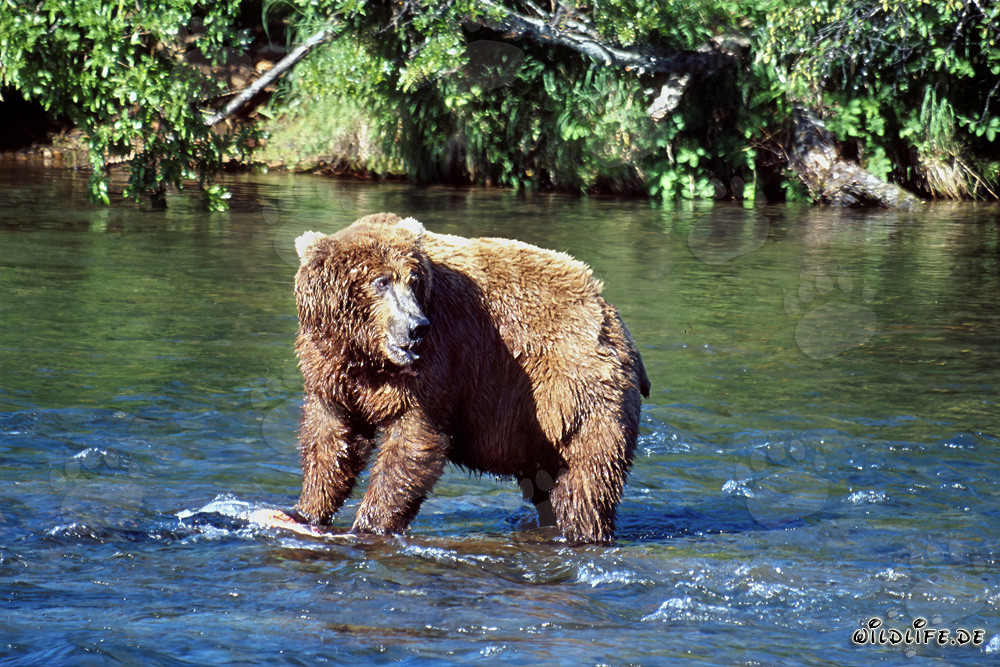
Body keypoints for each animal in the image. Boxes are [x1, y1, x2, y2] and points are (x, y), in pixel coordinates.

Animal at [291, 212, 650, 544]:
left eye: (413, 280)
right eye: (382, 281)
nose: (416, 326)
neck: (368, 355)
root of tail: (608, 311)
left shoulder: (437, 363)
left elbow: (414, 442)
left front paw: (369, 525)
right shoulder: (329, 371)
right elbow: (332, 440)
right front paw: (305, 510)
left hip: (574, 390)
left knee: (585, 481)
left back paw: (584, 531)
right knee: (545, 483)